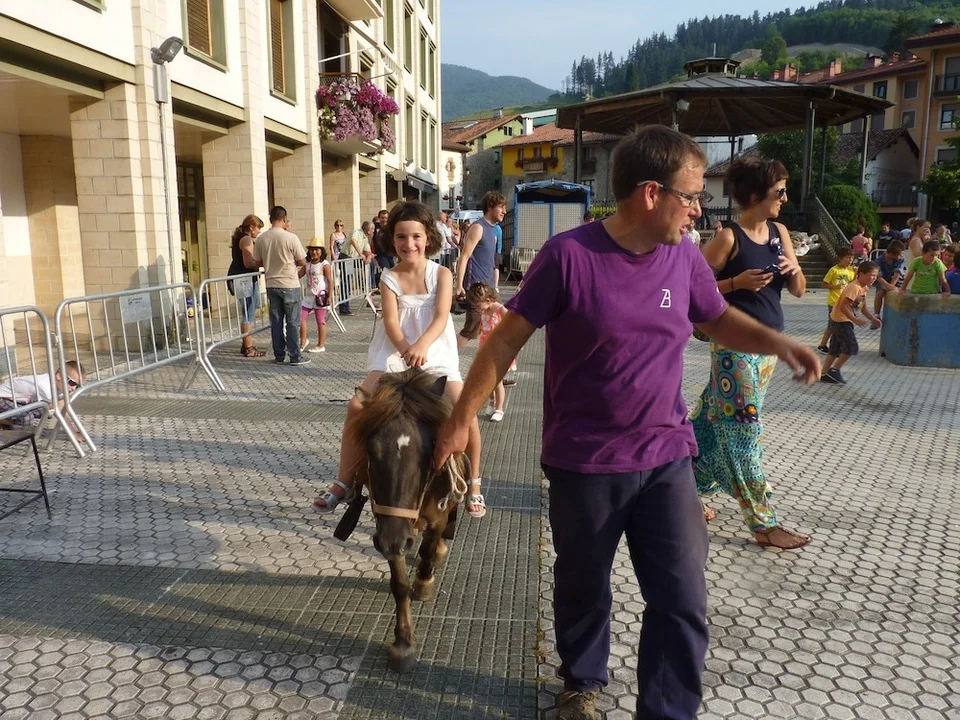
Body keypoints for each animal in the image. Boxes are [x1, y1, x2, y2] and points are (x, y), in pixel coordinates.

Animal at [346, 368, 468, 673]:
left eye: (428, 451)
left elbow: (427, 550)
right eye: (370, 451)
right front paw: (403, 642)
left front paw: (424, 583)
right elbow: (399, 583)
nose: (394, 540)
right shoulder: (390, 526)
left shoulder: (433, 519)